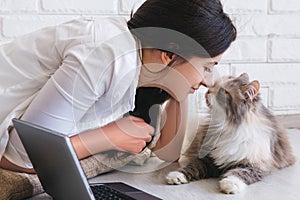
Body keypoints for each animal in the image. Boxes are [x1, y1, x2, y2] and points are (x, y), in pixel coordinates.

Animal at [166, 73, 296, 194]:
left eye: (223, 91)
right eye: (213, 86)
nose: (208, 91)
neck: (227, 126)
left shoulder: (255, 164)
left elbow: (240, 172)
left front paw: (229, 183)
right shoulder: (208, 158)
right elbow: (193, 166)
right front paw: (176, 176)